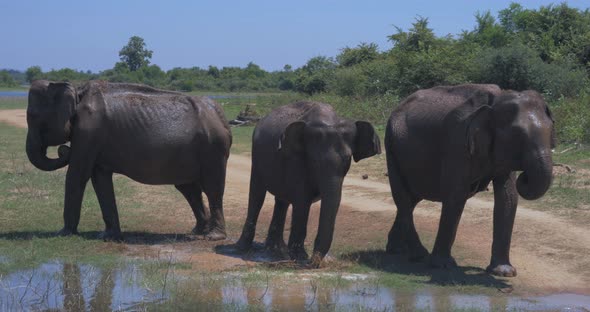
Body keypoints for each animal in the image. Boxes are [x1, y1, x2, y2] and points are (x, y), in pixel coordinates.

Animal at [26, 80, 234, 241]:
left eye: (33, 117)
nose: (63, 150)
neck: (77, 91)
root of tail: (221, 115)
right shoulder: (92, 138)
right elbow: (100, 179)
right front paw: (108, 236)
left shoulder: (88, 131)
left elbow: (78, 175)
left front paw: (62, 233)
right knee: (189, 189)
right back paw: (198, 231)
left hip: (213, 148)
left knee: (212, 188)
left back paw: (213, 236)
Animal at [237, 101, 384, 266]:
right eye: (314, 160)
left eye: (347, 159)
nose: (313, 263)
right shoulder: (296, 159)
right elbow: (302, 201)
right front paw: (300, 257)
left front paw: (300, 257)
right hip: (257, 157)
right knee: (257, 195)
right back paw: (242, 249)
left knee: (281, 201)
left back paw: (276, 251)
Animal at [386, 83, 556, 276]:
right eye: (517, 135)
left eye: (551, 129)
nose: (525, 176)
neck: (496, 100)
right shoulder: (457, 141)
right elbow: (456, 196)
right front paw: (443, 265)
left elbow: (508, 197)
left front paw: (504, 272)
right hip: (391, 146)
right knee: (403, 198)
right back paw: (419, 255)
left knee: (410, 200)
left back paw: (397, 250)